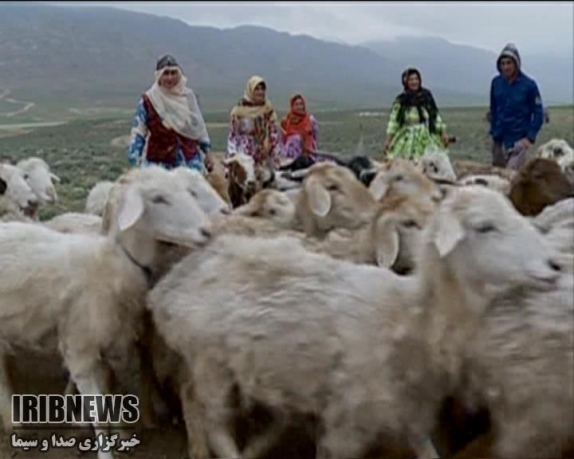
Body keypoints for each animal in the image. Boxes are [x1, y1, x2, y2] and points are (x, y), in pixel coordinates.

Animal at [0, 165, 213, 459]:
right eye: (158, 198)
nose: (208, 231)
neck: (114, 261)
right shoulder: (81, 351)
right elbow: (98, 410)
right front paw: (104, 451)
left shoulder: (107, 347)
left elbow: (111, 393)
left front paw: (119, 434)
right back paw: (12, 420)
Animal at [146, 184, 564, 459]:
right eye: (484, 226)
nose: (555, 265)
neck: (407, 315)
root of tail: (171, 284)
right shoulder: (348, 422)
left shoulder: (407, 412)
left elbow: (427, 451)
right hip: (210, 364)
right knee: (215, 425)